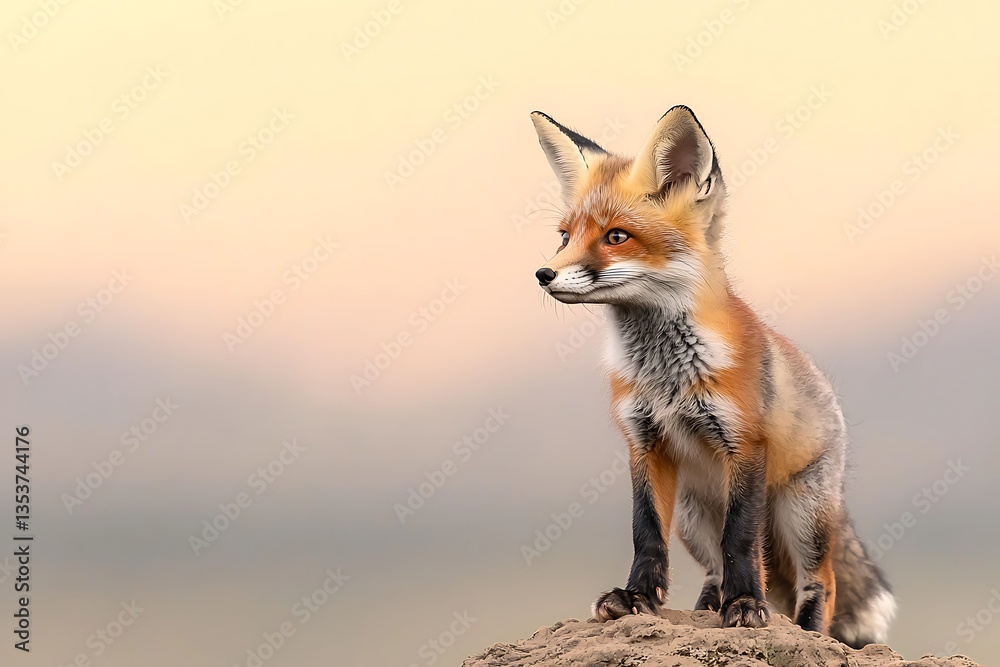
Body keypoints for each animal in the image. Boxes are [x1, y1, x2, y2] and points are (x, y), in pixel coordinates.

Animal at [529, 105, 896, 647]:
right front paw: (636, 597)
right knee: (713, 570)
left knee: (817, 580)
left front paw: (745, 605)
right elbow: (645, 533)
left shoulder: (744, 442)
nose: (543, 274)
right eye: (564, 237)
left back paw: (806, 630)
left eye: (616, 236)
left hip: (800, 515)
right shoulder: (644, 442)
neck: (664, 373)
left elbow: (741, 539)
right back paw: (706, 608)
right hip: (693, 512)